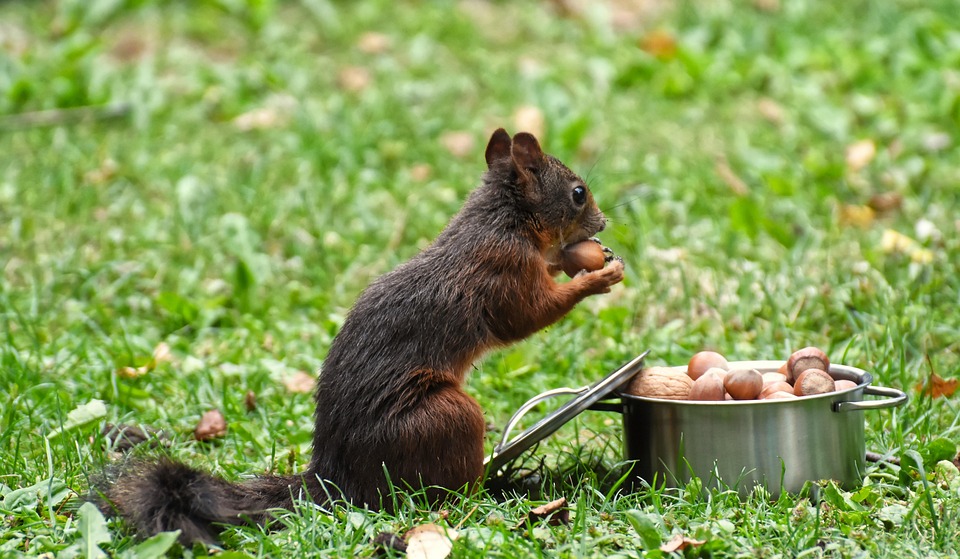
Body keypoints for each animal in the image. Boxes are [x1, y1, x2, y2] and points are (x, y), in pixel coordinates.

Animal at [95, 129, 624, 544]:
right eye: (578, 193)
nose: (603, 223)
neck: (502, 220)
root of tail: (333, 478)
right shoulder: (502, 271)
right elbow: (526, 317)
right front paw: (595, 279)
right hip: (445, 415)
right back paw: (487, 497)